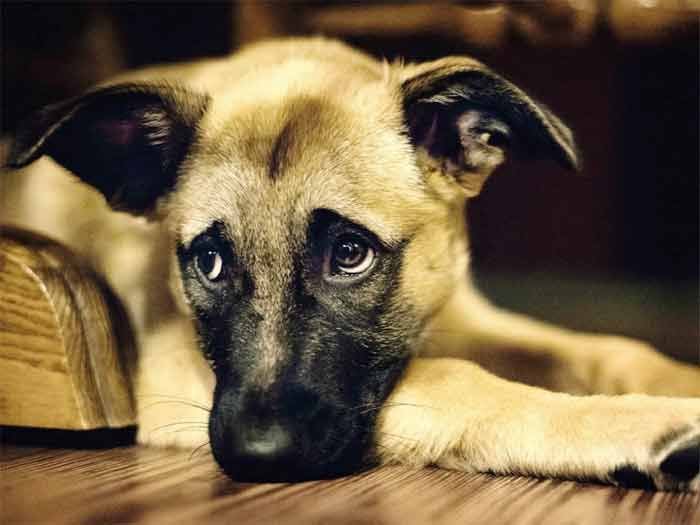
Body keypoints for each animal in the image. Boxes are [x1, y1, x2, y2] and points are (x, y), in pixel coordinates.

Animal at [1, 39, 700, 490]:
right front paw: (643, 421)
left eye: (350, 253)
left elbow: (607, 348)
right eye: (210, 261)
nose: (256, 457)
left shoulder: (456, 314)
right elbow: (456, 379)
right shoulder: (176, 376)